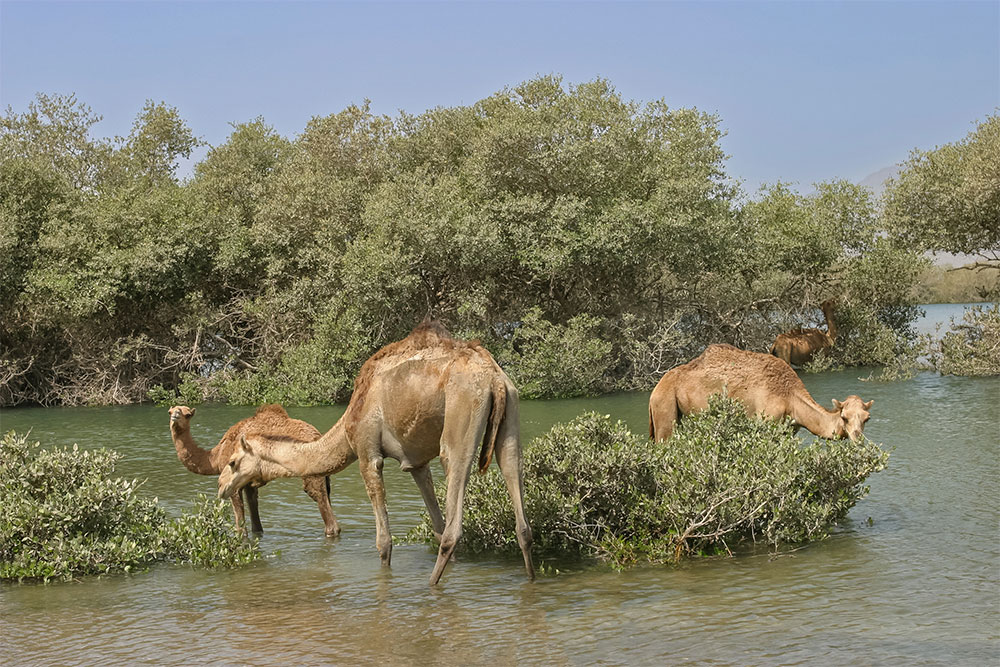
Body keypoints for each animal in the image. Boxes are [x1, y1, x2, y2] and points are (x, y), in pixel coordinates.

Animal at [168, 402, 340, 536]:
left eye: (187, 414)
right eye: (171, 411)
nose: (175, 416)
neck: (216, 457)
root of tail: (317, 436)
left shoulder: (233, 481)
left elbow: (240, 526)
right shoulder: (248, 482)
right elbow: (255, 521)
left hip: (312, 473)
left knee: (325, 511)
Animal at [216, 320, 536, 588]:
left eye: (232, 462)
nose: (221, 487)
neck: (347, 424)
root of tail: (493, 377)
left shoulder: (368, 452)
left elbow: (384, 541)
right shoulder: (416, 462)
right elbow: (434, 523)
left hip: (461, 416)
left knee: (453, 512)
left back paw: (431, 586)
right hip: (511, 412)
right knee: (517, 499)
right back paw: (530, 579)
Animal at [648, 344, 876, 444]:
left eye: (867, 418)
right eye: (844, 417)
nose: (858, 438)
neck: (790, 397)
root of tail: (655, 389)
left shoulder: (788, 431)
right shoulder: (765, 423)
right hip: (664, 408)